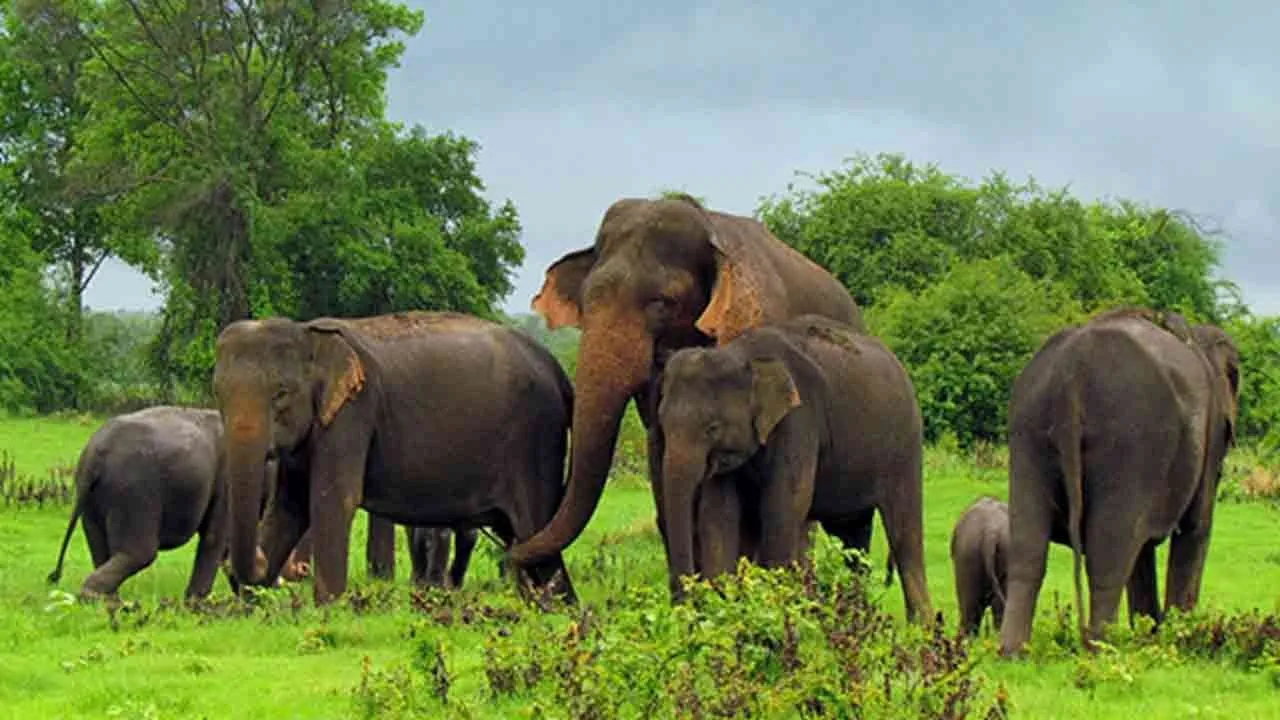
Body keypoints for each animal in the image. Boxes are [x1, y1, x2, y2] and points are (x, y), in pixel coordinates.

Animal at [47, 406, 231, 600]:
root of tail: (96, 453)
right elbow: (214, 536)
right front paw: (196, 603)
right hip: (134, 491)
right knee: (140, 553)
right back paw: (100, 598)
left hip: (90, 497)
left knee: (100, 548)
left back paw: (108, 601)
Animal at [213, 310, 577, 605]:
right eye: (219, 393)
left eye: (281, 393)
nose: (264, 567)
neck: (308, 333)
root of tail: (557, 369)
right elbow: (289, 506)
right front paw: (249, 605)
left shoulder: (354, 411)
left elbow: (333, 500)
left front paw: (328, 608)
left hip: (534, 445)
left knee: (535, 528)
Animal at [654, 315, 932, 622]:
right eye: (661, 423)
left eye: (712, 428)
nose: (684, 610)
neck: (742, 354)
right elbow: (718, 514)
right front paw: (728, 613)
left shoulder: (799, 421)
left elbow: (783, 505)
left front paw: (771, 614)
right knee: (852, 537)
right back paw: (855, 619)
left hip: (905, 446)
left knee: (905, 534)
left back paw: (921, 628)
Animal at [999, 307, 1240, 656]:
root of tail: (1072, 371)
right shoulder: (1210, 434)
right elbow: (1195, 528)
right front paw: (1177, 639)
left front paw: (1150, 635)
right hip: (1129, 440)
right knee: (1108, 552)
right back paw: (1102, 649)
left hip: (1027, 432)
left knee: (1028, 547)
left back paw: (1014, 653)